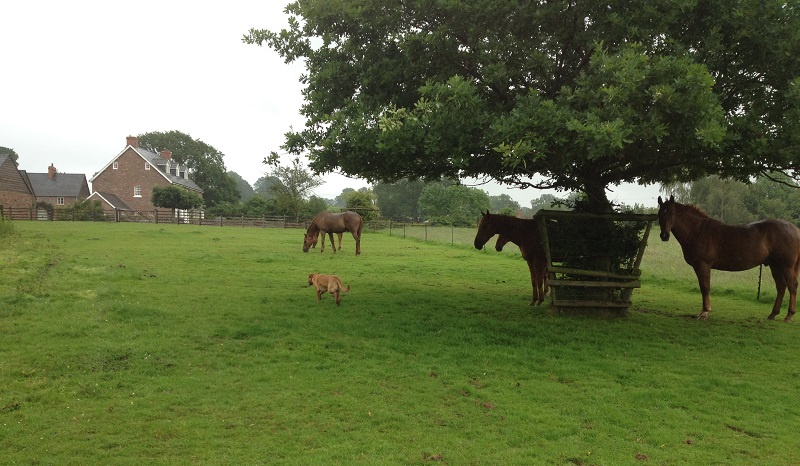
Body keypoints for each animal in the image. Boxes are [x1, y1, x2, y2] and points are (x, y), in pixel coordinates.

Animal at [656, 195, 800, 322]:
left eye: (672, 212)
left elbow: (705, 287)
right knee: (781, 287)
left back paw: (789, 316)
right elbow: (703, 287)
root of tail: (795, 229)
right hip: (775, 265)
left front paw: (705, 312)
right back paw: (773, 314)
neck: (698, 231)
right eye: (659, 213)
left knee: (792, 286)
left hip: (786, 266)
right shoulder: (699, 266)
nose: (664, 235)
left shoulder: (704, 265)